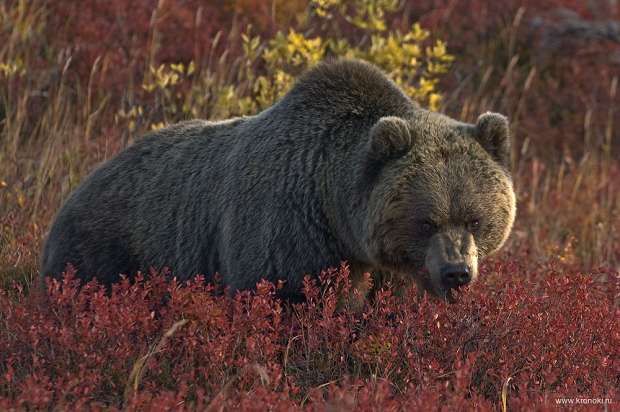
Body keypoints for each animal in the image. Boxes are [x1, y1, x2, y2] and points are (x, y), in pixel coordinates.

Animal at [41, 58, 516, 302]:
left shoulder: (392, 267)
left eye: (475, 219)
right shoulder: (286, 228)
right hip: (105, 254)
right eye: (426, 220)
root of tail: (82, 183)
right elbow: (282, 297)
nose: (457, 272)